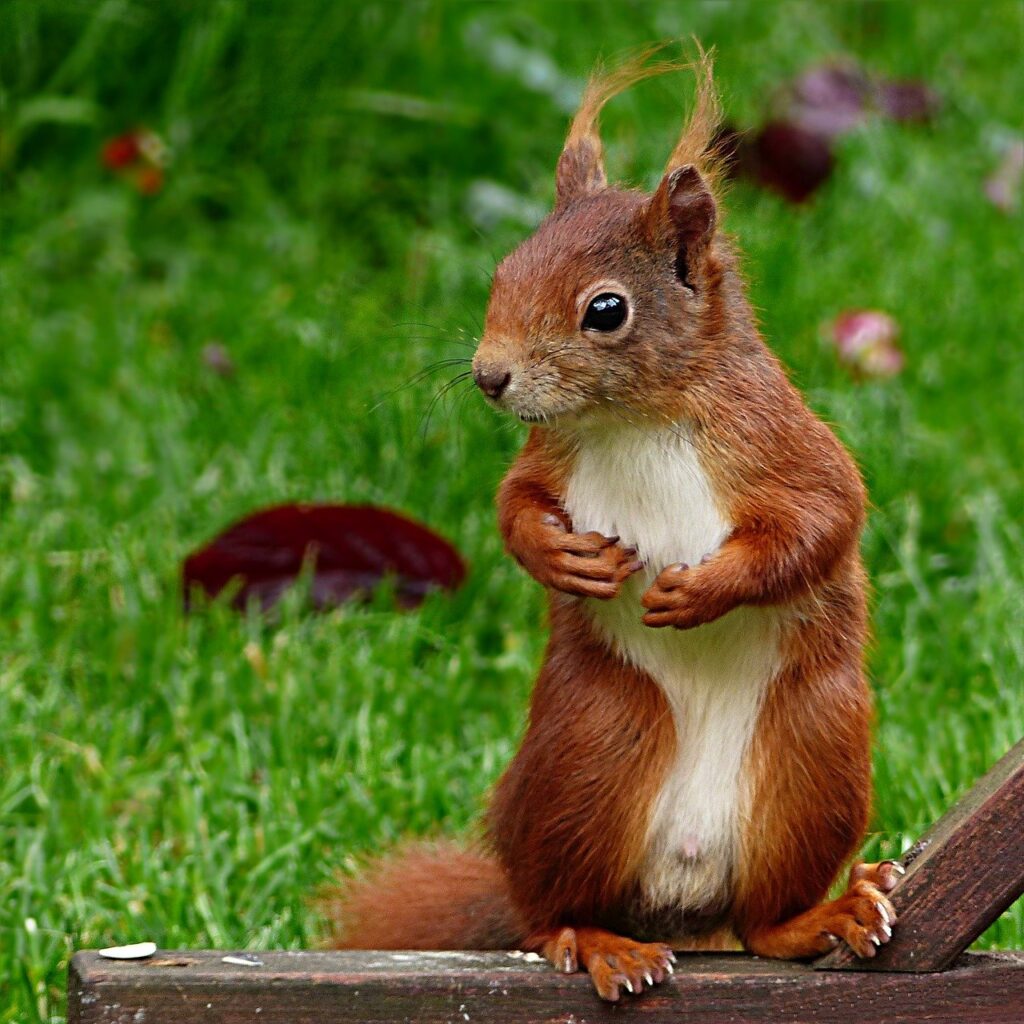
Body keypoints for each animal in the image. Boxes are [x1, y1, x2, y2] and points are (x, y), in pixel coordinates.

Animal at [323, 51, 904, 1002]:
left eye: (606, 310)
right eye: (503, 272)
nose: (489, 377)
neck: (632, 418)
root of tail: (686, 910)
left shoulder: (779, 442)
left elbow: (823, 520)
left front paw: (703, 590)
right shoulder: (548, 456)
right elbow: (513, 507)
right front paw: (562, 557)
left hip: (812, 751)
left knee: (765, 921)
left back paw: (822, 916)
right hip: (592, 749)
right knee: (550, 911)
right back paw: (597, 940)